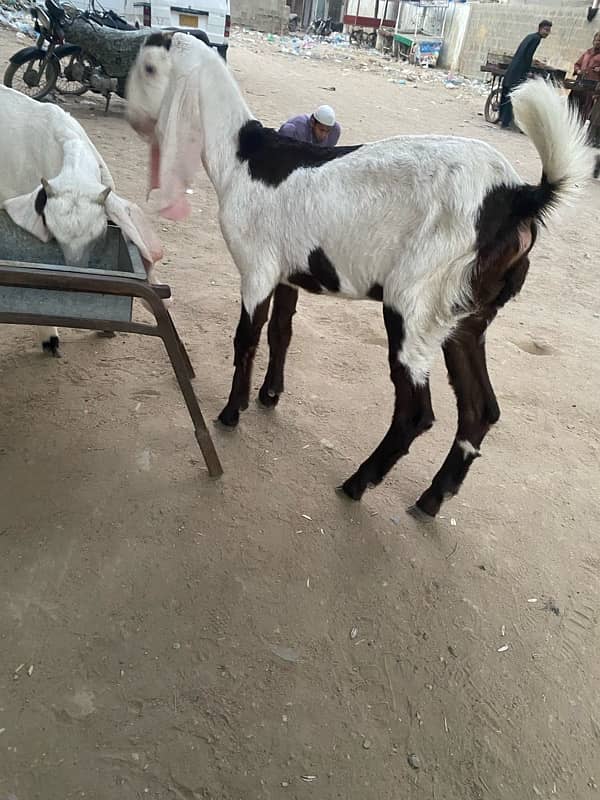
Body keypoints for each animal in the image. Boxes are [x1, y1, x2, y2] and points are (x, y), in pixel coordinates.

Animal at [125, 34, 592, 516]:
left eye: (148, 68)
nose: (132, 117)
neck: (243, 157)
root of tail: (519, 196)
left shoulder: (256, 269)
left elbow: (246, 339)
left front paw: (231, 413)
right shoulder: (288, 273)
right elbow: (281, 332)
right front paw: (269, 396)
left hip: (416, 301)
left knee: (416, 412)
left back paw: (357, 483)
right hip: (467, 314)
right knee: (480, 408)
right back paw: (431, 498)